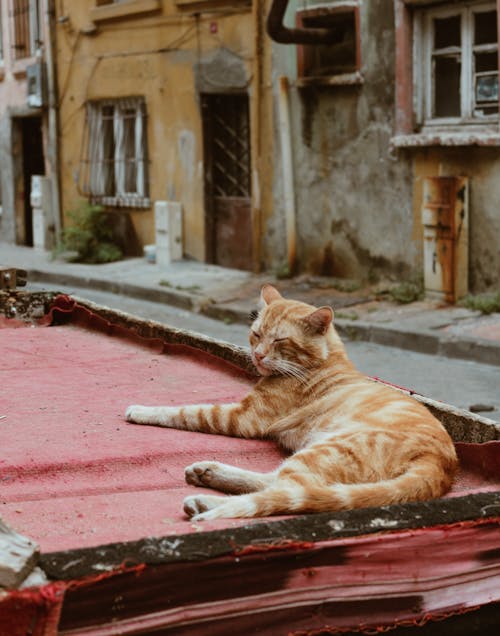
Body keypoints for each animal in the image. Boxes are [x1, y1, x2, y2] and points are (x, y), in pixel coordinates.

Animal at [125, 286, 458, 520]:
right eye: (256, 334)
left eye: (279, 340)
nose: (258, 355)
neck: (323, 361)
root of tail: (441, 463)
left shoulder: (241, 417)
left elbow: (184, 410)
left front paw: (141, 410)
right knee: (279, 484)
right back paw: (208, 474)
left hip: (324, 449)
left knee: (282, 492)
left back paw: (205, 501)